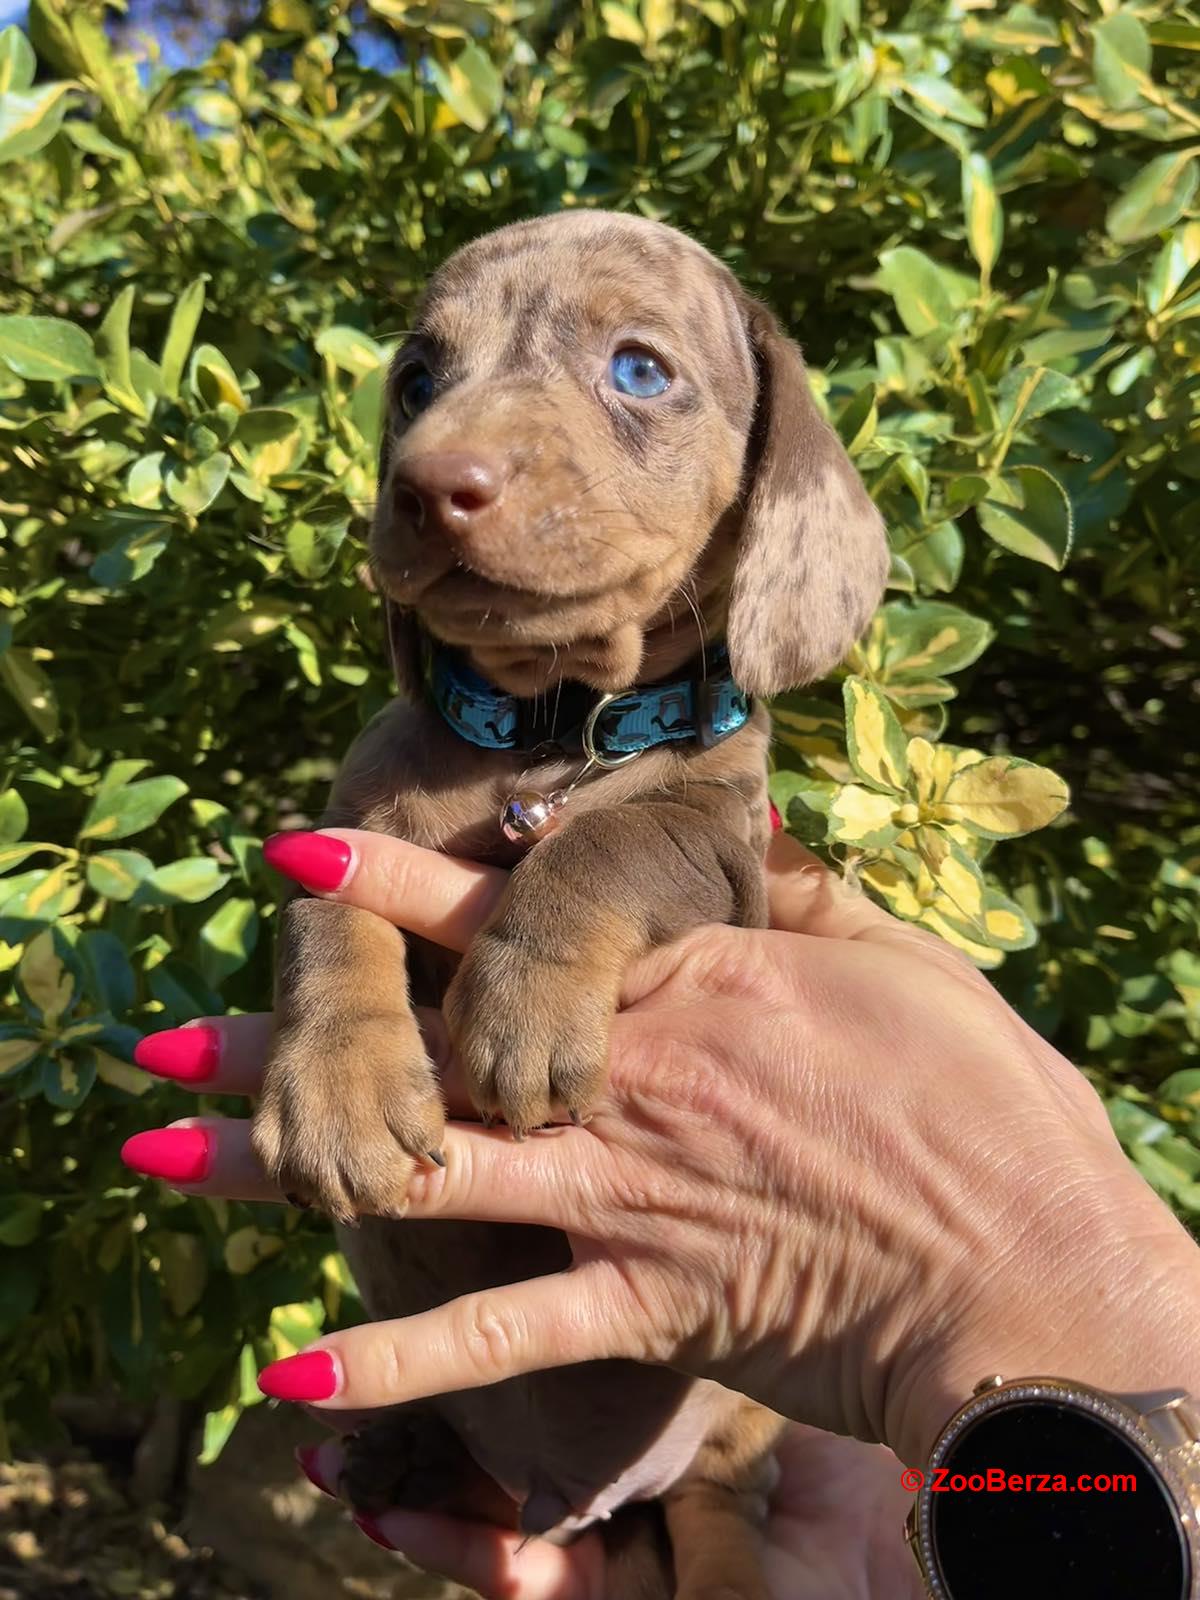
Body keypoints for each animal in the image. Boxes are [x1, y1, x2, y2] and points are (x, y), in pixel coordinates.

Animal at [256, 212, 896, 1600]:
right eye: (415, 381)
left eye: (639, 369)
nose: (428, 484)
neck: (550, 731)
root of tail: (568, 1495)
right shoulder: (353, 820)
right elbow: (324, 915)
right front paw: (336, 1084)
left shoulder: (721, 852)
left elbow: (611, 843)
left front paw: (525, 1001)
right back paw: (401, 1448)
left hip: (740, 1427)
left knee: (720, 1500)